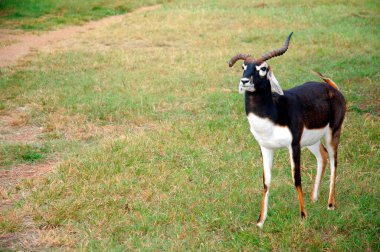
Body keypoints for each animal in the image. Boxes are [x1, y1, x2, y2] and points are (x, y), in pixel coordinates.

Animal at [230, 32, 346, 227]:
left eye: (263, 68)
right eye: (243, 66)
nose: (244, 81)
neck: (273, 112)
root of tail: (332, 87)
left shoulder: (293, 145)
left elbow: (296, 178)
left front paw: (303, 215)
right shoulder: (266, 147)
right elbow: (266, 181)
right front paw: (261, 221)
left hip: (332, 133)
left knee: (333, 161)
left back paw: (330, 204)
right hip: (311, 141)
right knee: (322, 156)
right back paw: (314, 198)